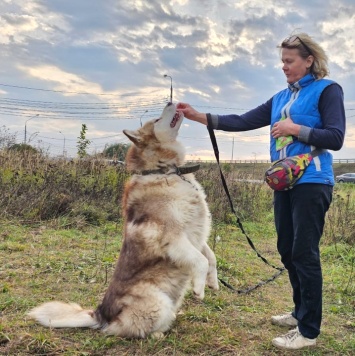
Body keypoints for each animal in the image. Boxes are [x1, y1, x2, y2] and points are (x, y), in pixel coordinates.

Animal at [28, 101, 220, 338]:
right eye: (157, 120)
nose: (170, 101)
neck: (165, 171)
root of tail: (100, 315)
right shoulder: (173, 237)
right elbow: (201, 261)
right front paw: (199, 289)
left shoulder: (196, 234)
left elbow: (210, 257)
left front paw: (213, 282)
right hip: (157, 302)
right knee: (128, 330)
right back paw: (156, 335)